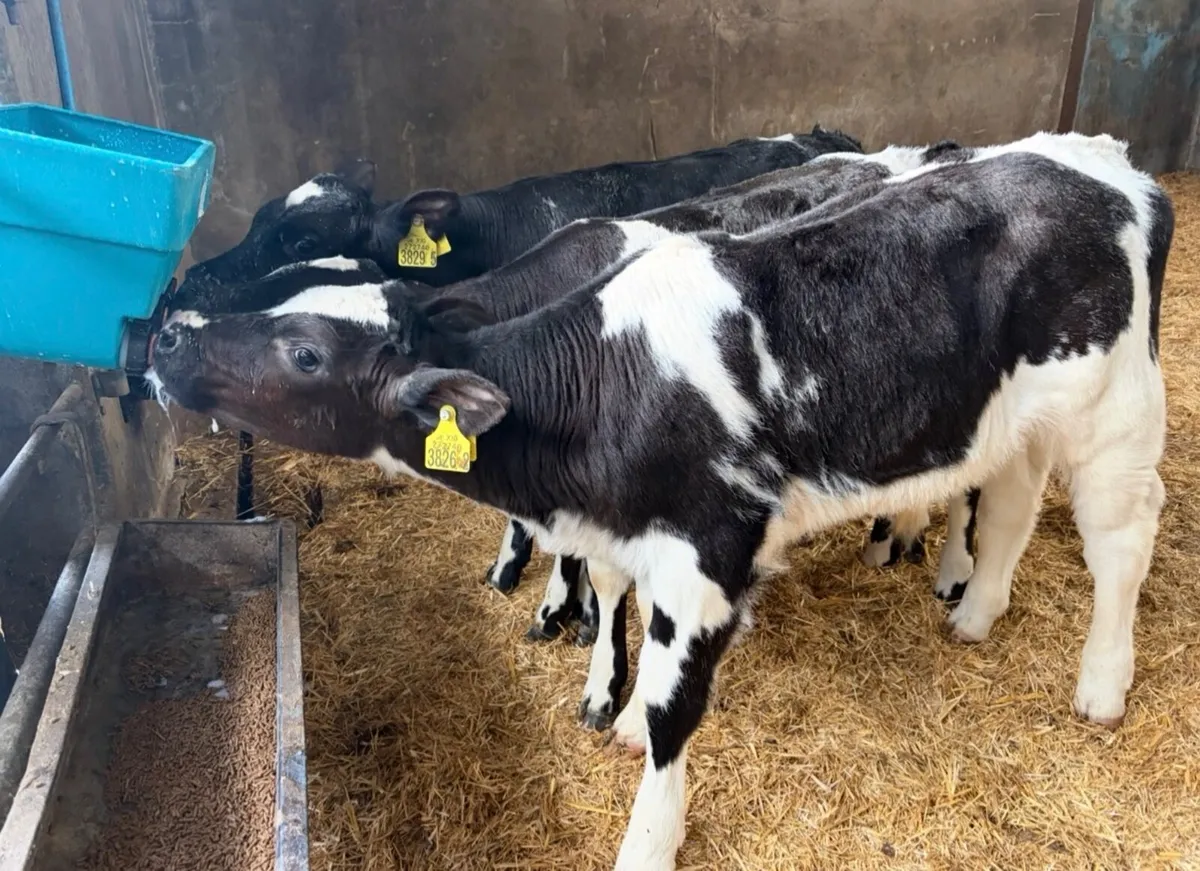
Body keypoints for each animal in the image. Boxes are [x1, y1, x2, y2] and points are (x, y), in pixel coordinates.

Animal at [147, 131, 1172, 870]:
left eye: (307, 352)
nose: (169, 332)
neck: (596, 380)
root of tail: (1098, 157)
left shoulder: (707, 556)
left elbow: (676, 716)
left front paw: (646, 832)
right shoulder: (621, 532)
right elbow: (610, 600)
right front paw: (608, 684)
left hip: (1118, 406)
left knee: (1121, 535)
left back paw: (1099, 683)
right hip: (1018, 414)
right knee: (1013, 498)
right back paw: (977, 606)